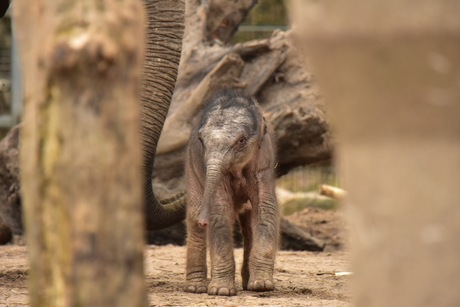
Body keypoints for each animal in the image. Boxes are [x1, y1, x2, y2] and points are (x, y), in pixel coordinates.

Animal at [184, 91, 280, 296]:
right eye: (201, 141)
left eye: (241, 141)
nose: (204, 221)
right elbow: (220, 210)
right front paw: (221, 291)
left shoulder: (264, 162)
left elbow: (265, 208)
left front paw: (262, 286)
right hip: (191, 167)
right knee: (193, 216)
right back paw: (195, 288)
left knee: (249, 223)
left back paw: (249, 284)